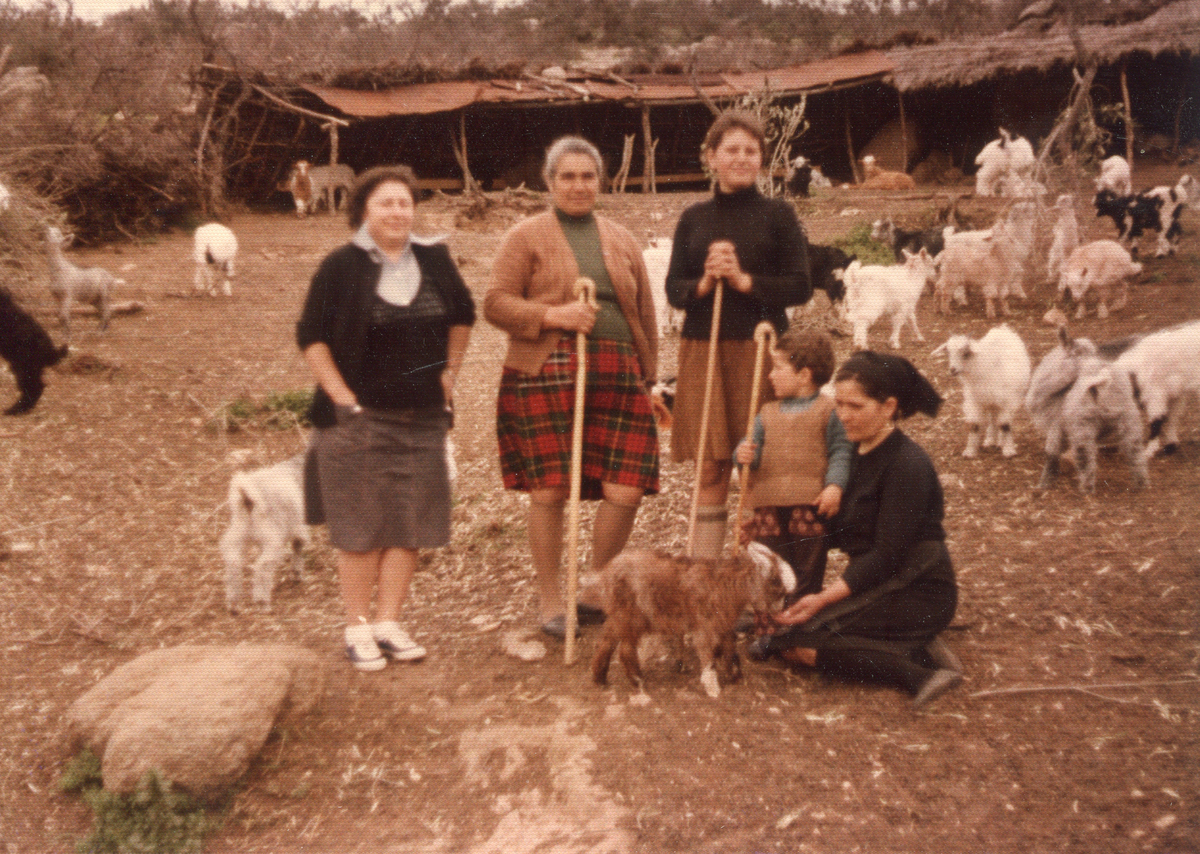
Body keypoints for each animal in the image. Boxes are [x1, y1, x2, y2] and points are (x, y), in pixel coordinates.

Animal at [219, 458, 307, 609]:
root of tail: (248, 500)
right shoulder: (298, 527)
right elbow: (298, 546)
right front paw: (297, 574)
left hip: (238, 536)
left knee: (233, 562)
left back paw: (233, 602)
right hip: (271, 539)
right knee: (262, 566)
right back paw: (262, 600)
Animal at [592, 544, 796, 695]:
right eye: (777, 584)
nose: (780, 610)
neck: (727, 584)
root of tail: (607, 572)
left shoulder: (722, 625)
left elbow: (729, 649)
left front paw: (735, 677)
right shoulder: (705, 626)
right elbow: (708, 655)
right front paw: (713, 689)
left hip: (618, 615)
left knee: (605, 643)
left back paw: (599, 679)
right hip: (631, 616)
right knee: (625, 650)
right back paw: (637, 682)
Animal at [936, 323, 1032, 458]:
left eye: (966, 353)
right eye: (949, 352)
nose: (953, 370)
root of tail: (1002, 329)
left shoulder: (1006, 401)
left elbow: (1005, 424)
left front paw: (1008, 450)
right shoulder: (975, 401)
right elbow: (974, 425)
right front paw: (969, 451)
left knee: (1000, 420)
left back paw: (1000, 441)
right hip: (990, 401)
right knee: (992, 419)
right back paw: (990, 440)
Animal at [1113, 316, 1200, 458]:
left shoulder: (1156, 394)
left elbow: (1157, 421)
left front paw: (1148, 451)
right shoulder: (1175, 394)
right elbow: (1172, 418)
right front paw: (1171, 445)